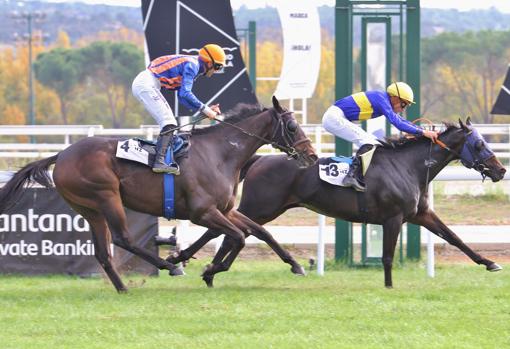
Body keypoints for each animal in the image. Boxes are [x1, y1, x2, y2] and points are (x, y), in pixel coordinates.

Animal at [0, 96, 318, 290]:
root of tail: (62, 154)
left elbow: (257, 231)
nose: (312, 155)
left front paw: (295, 265)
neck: (220, 153)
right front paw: (207, 270)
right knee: (122, 239)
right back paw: (167, 266)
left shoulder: (225, 209)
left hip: (90, 210)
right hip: (106, 197)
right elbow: (237, 236)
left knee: (103, 252)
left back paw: (123, 288)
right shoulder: (203, 212)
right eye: (292, 126)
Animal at [171, 118, 506, 286]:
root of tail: (257, 160)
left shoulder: (420, 214)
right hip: (260, 207)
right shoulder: (394, 218)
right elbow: (387, 256)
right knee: (226, 230)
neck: (409, 165)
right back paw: (191, 262)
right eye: (479, 144)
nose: (501, 170)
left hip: (259, 208)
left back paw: (203, 267)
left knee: (231, 231)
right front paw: (388, 286)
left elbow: (454, 237)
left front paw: (490, 263)